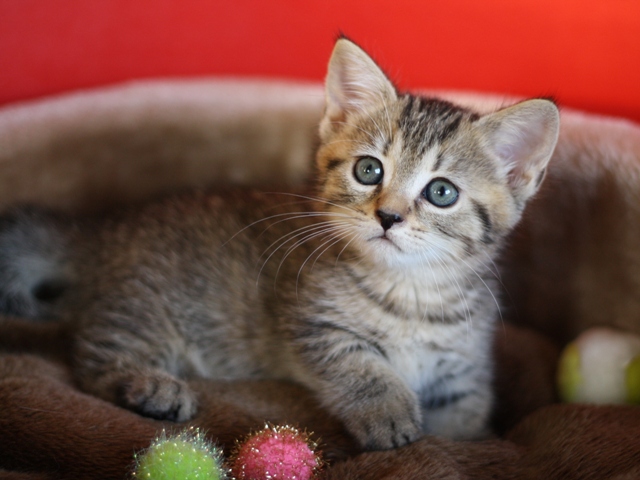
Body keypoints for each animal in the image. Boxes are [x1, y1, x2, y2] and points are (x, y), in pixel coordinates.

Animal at [0, 39, 556, 452]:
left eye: (441, 193)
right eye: (369, 169)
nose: (389, 216)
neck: (410, 291)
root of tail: (101, 228)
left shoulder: (464, 371)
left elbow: (465, 421)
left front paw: (462, 443)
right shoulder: (314, 323)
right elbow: (360, 367)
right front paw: (389, 413)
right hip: (144, 308)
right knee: (93, 357)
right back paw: (150, 386)